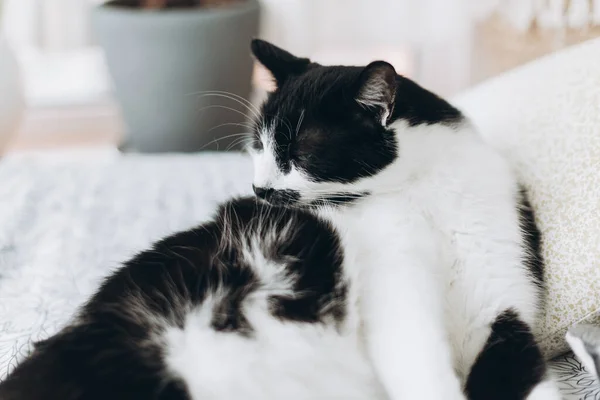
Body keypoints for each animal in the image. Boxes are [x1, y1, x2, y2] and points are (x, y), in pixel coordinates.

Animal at [246, 39, 564, 400]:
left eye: (301, 154)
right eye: (258, 145)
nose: (259, 188)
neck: (422, 186)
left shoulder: (494, 291)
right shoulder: (397, 286)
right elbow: (418, 361)